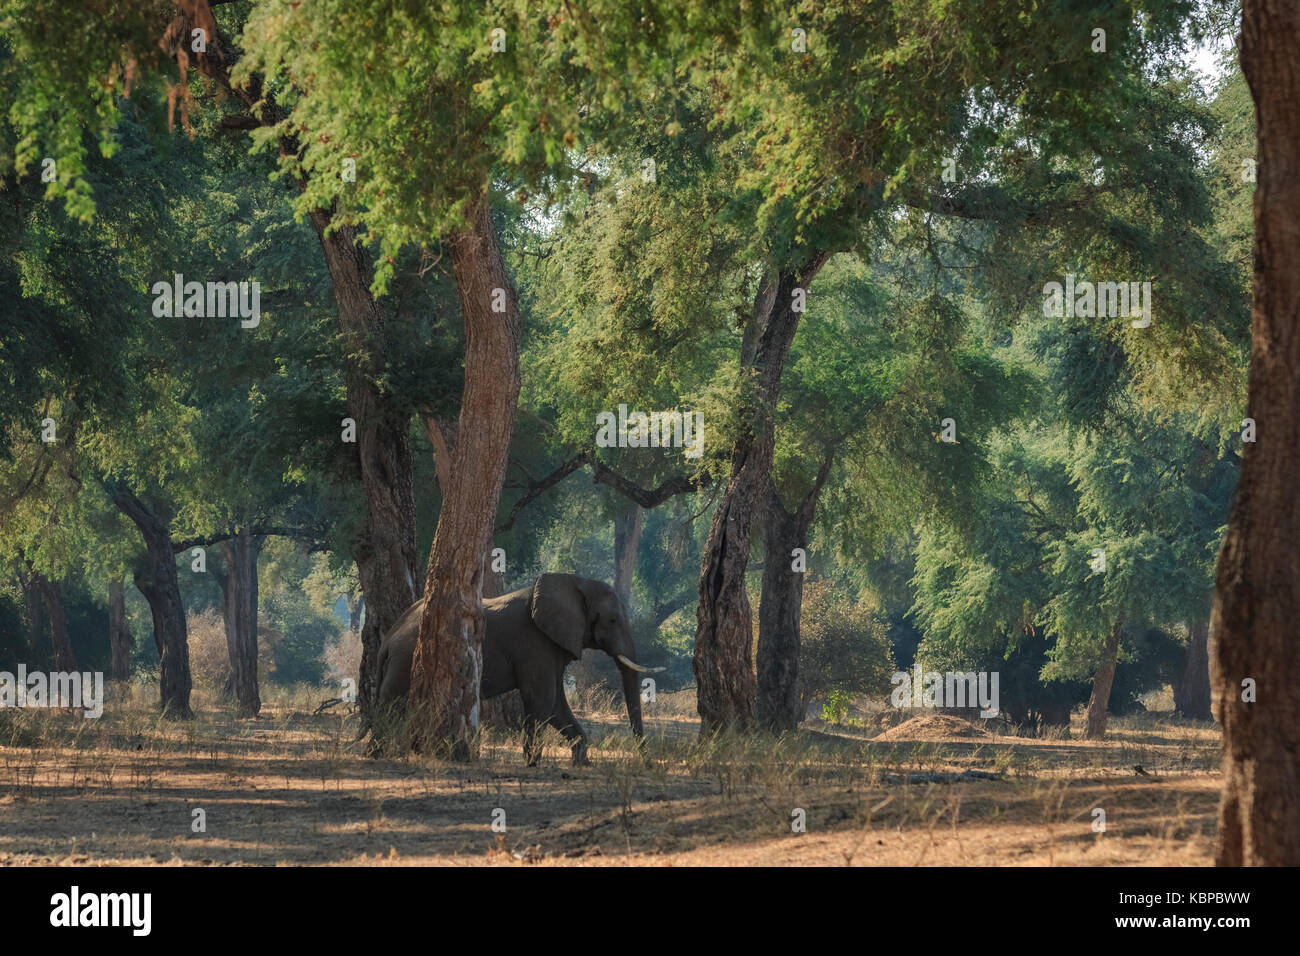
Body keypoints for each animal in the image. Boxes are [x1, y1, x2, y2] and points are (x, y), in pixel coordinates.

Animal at [374, 572, 660, 764]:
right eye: (612, 620)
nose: (648, 764)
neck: (575, 581)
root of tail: (387, 640)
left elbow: (556, 703)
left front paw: (582, 763)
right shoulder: (535, 643)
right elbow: (542, 699)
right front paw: (532, 763)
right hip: (404, 660)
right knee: (393, 703)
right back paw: (381, 754)